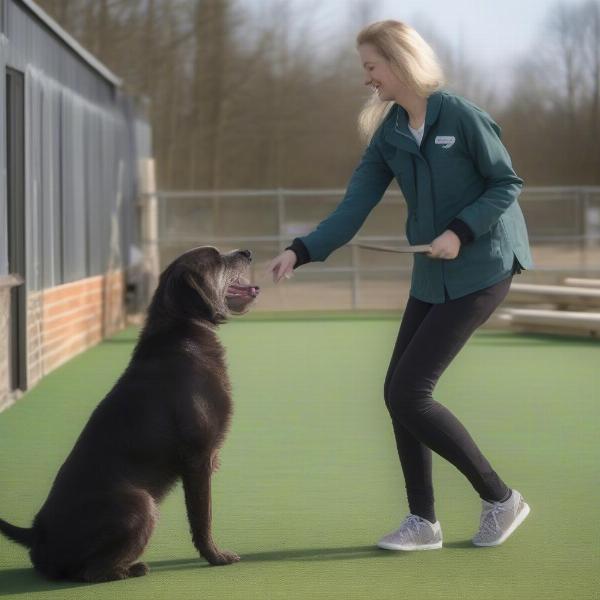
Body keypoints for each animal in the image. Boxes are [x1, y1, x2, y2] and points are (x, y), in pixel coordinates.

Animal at [0, 245, 258, 580]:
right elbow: (203, 517)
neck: (184, 330)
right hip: (141, 503)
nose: (246, 251)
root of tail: (37, 532)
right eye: (214, 258)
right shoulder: (198, 458)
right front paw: (215, 556)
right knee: (90, 571)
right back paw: (131, 568)